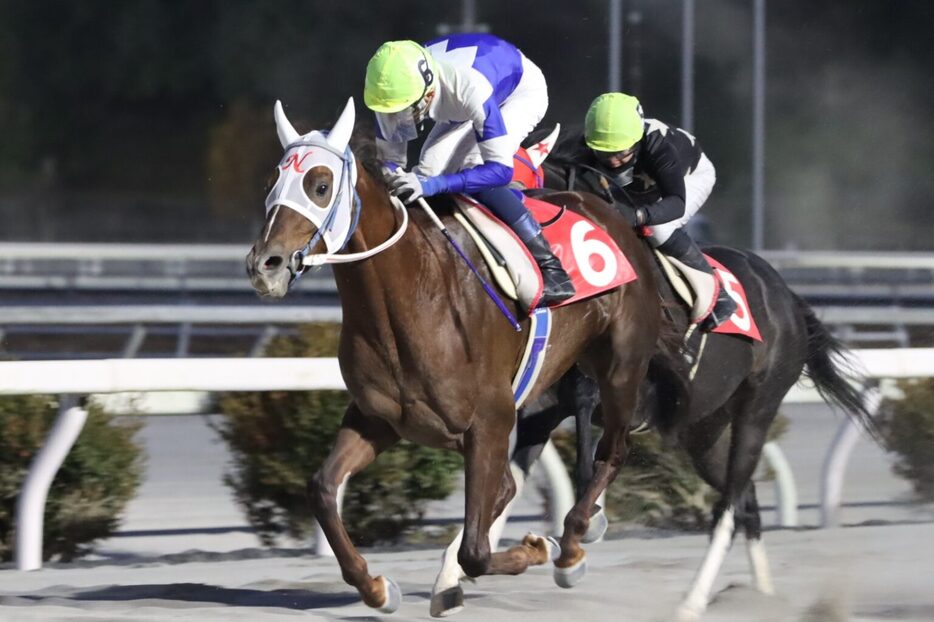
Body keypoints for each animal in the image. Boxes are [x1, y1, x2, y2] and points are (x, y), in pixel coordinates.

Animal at [245, 100, 660, 616]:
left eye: (319, 186)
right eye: (270, 183)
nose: (264, 266)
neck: (411, 299)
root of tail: (608, 211)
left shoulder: (490, 421)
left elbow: (476, 550)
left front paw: (535, 548)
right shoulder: (378, 418)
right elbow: (322, 489)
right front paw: (376, 587)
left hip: (621, 365)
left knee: (612, 450)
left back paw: (571, 544)